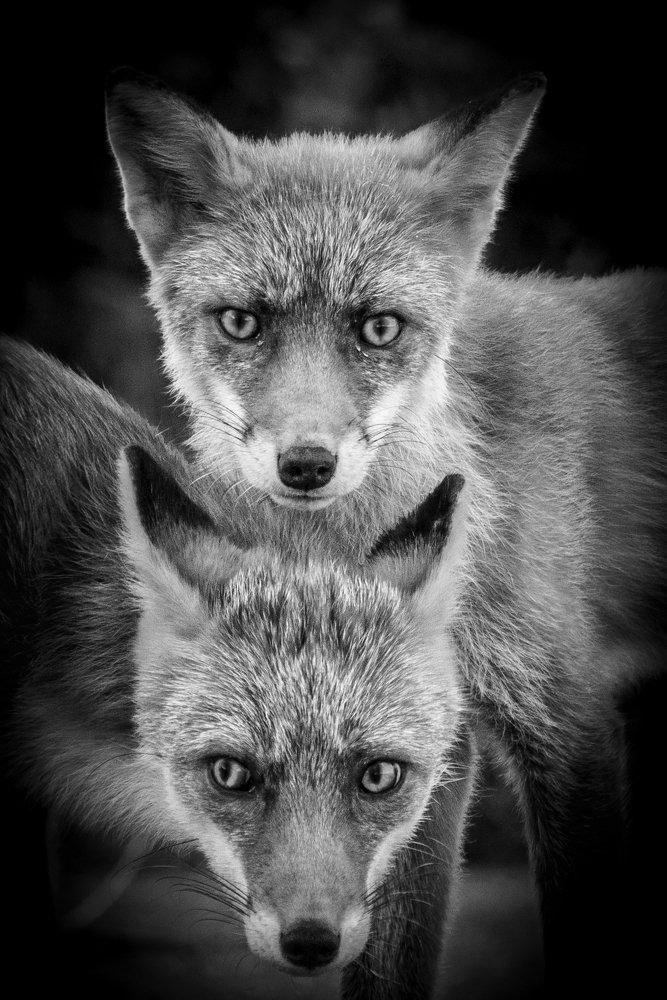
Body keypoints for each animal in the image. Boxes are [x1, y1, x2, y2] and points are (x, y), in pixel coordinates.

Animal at [104, 66, 667, 998]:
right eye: (241, 322)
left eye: (378, 328)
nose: (305, 464)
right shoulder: (422, 745)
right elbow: (384, 959)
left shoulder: (564, 716)